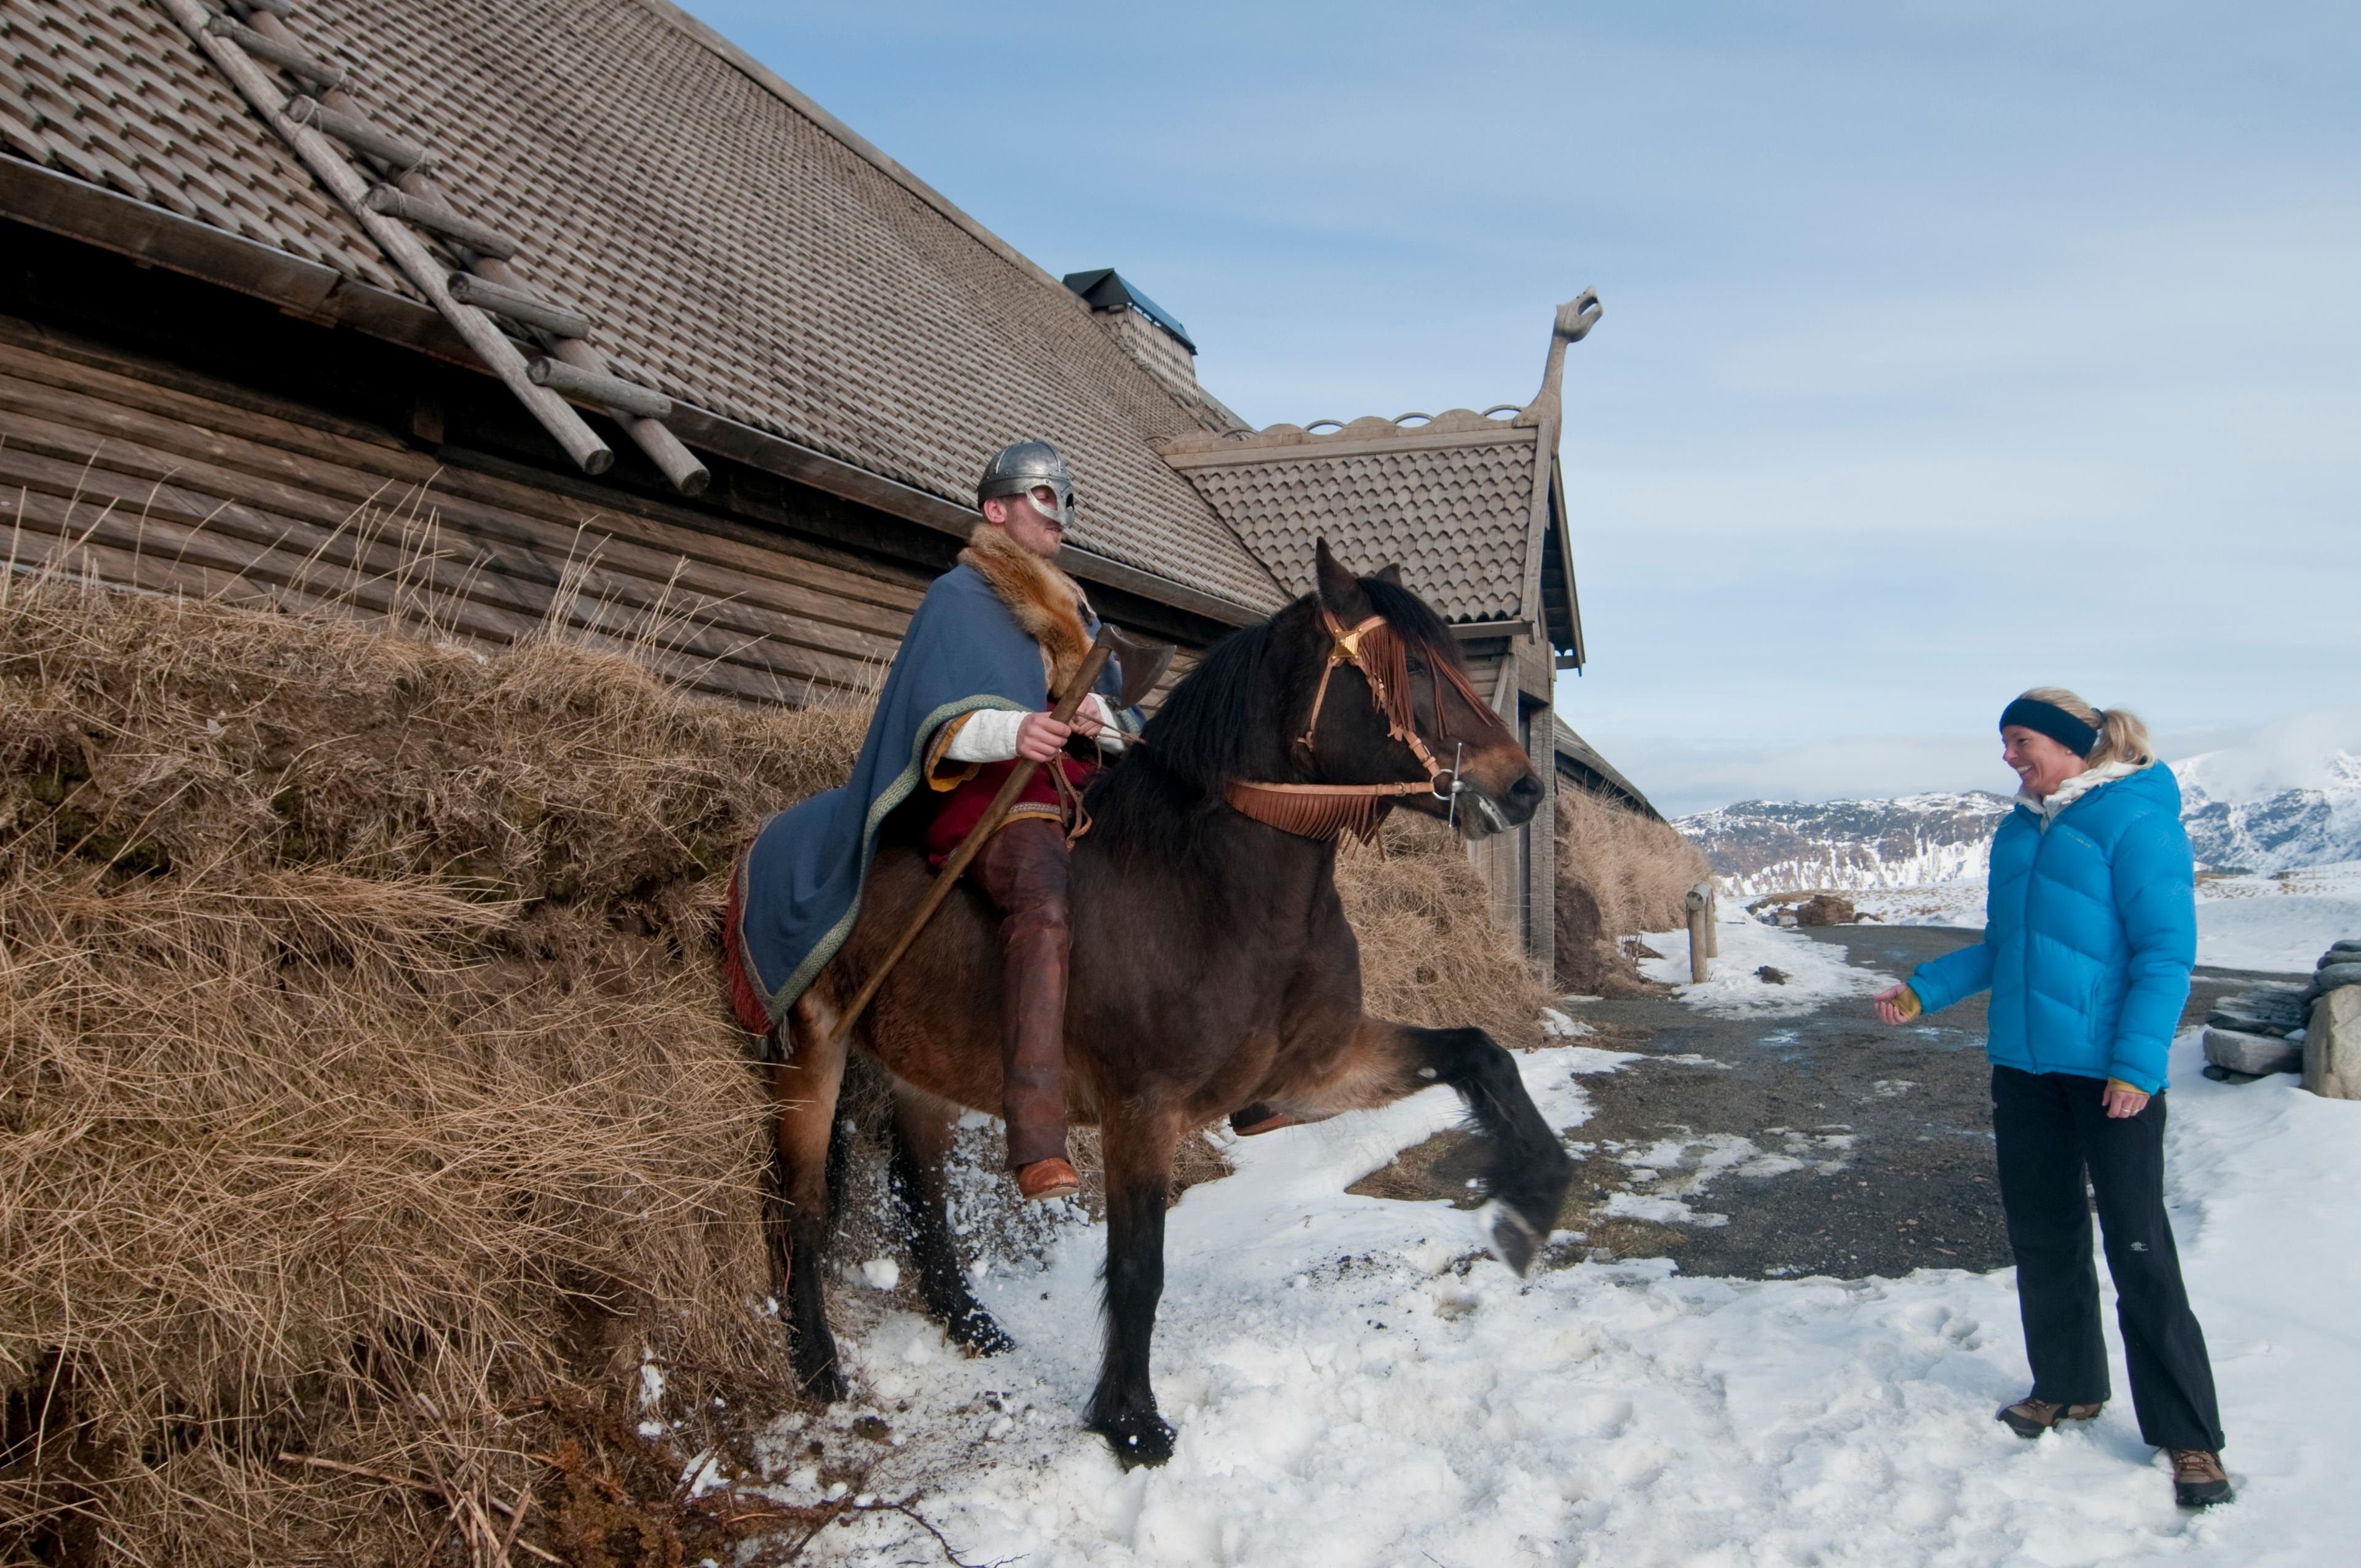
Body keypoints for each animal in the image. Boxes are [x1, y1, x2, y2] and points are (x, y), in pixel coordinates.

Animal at [758, 539, 1574, 1467]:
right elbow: (1139, 1266)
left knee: (921, 1190)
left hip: (921, 1064)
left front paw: (1535, 1197)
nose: (1522, 788)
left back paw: (970, 1325)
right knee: (801, 1207)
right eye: (1409, 674)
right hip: (809, 1050)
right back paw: (820, 1367)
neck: (1216, 892)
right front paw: (1131, 1420)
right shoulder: (1140, 1111)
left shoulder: (1315, 1073)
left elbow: (1482, 1052)